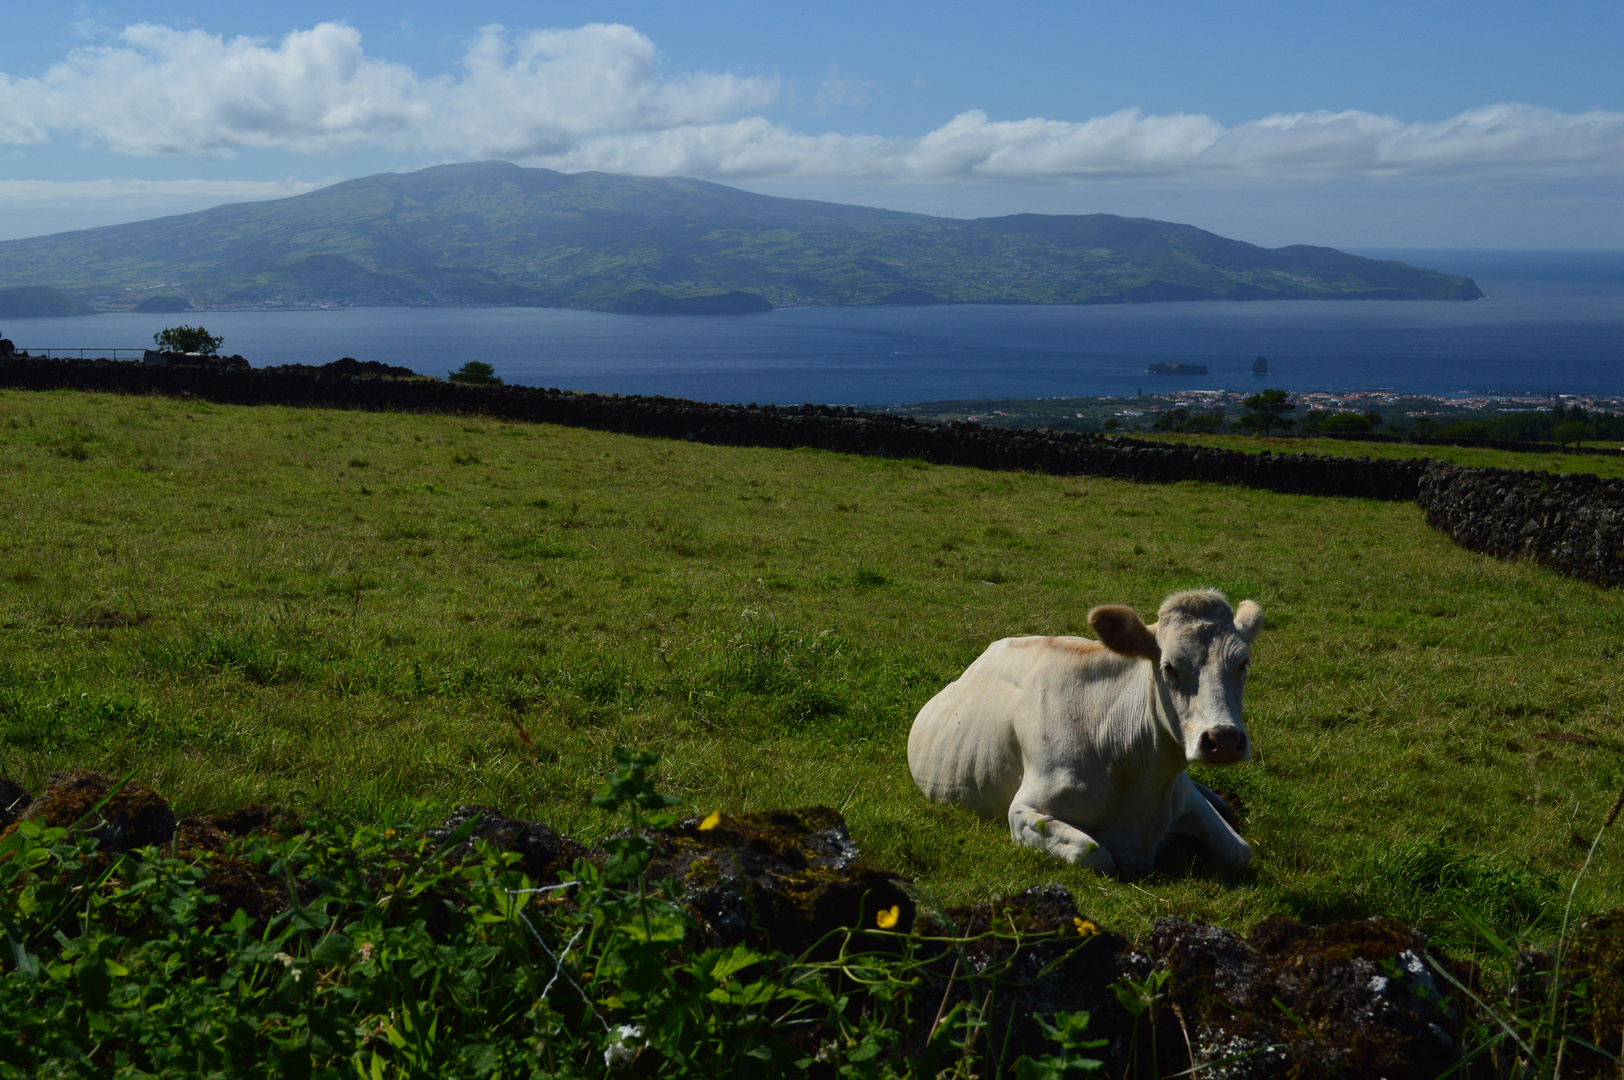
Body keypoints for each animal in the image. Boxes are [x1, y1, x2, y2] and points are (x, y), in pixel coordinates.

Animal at [909, 591, 1260, 876]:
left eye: (1243, 664)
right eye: (1169, 667)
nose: (1223, 740)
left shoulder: (1183, 797)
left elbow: (1241, 853)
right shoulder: (1024, 811)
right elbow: (1095, 854)